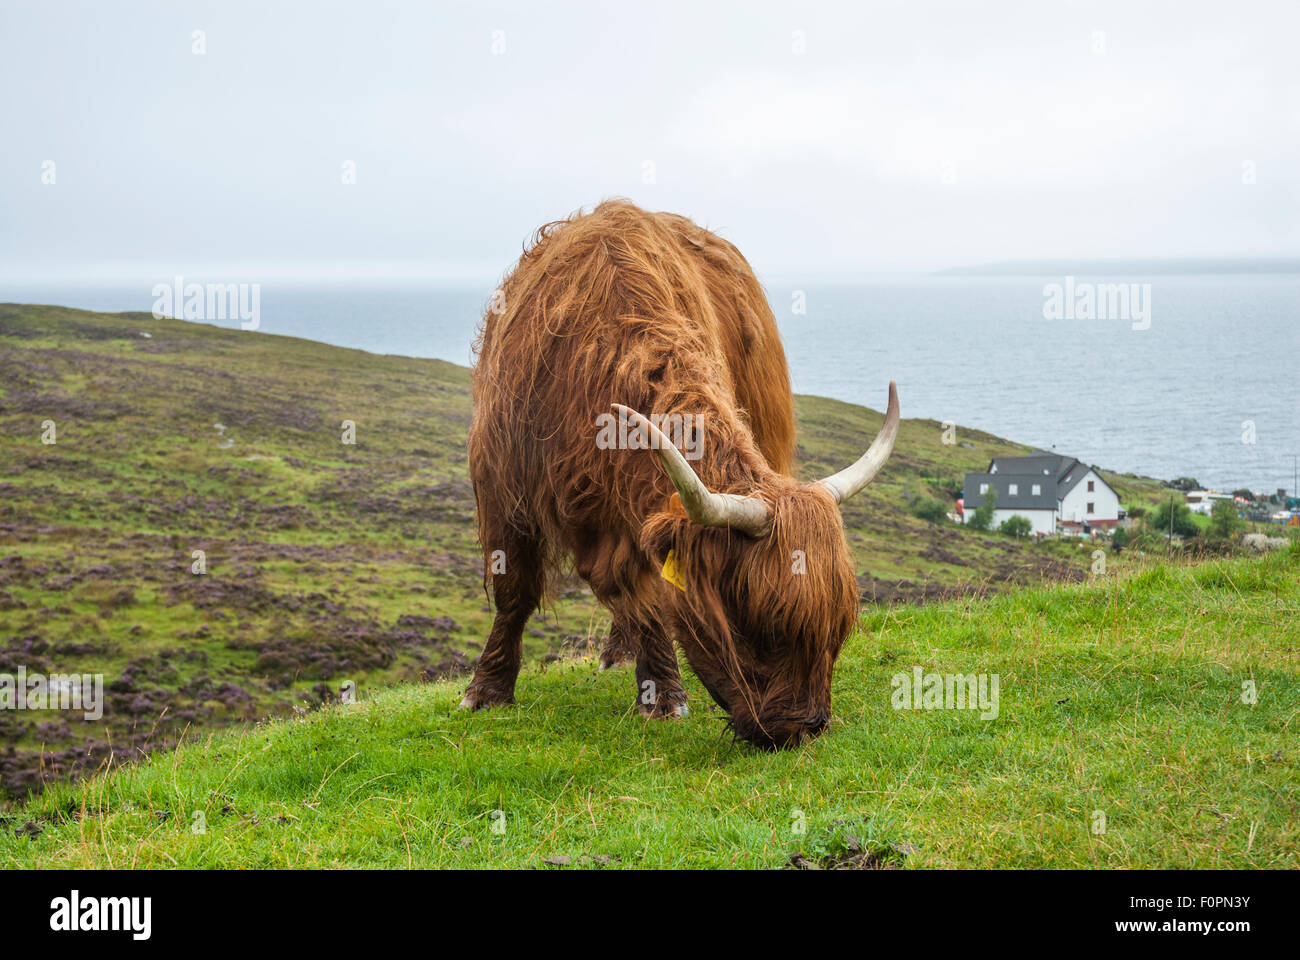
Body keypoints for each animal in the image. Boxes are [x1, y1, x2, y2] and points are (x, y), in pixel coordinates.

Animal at [461, 199, 899, 748]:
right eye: (760, 625)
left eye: (837, 628)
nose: (806, 727)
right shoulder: (500, 480)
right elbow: (514, 587)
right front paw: (487, 690)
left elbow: (639, 588)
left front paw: (659, 693)